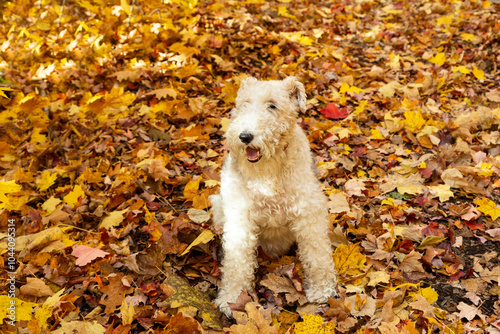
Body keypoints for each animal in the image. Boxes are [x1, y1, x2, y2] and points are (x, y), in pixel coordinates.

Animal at [209, 76, 338, 316]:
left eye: (272, 105)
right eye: (244, 103)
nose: (245, 136)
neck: (268, 173)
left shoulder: (308, 212)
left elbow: (316, 254)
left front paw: (321, 290)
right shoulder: (240, 217)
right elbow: (237, 262)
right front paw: (232, 299)